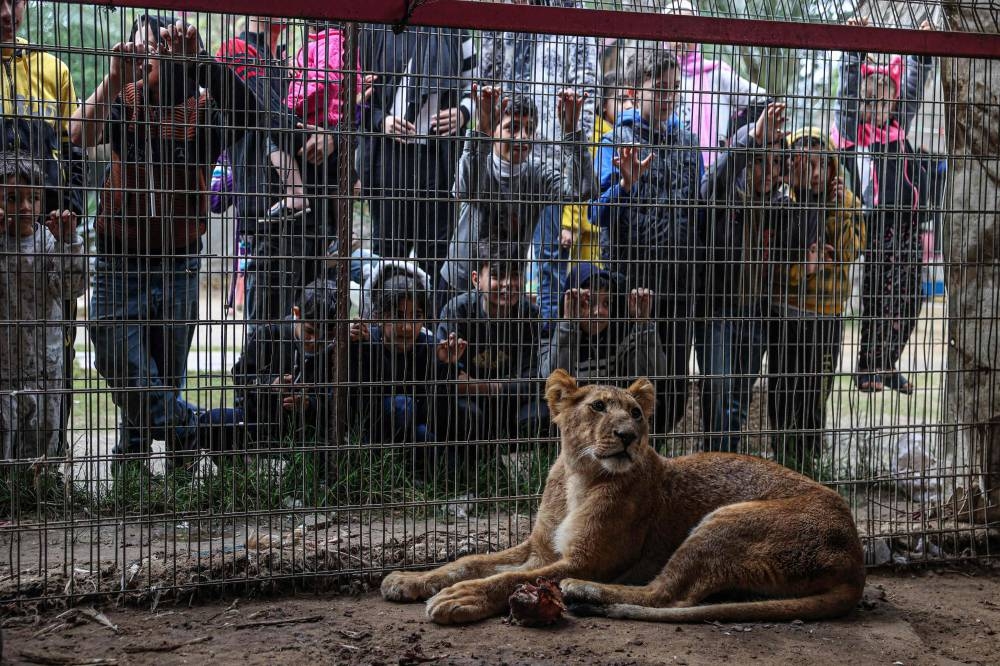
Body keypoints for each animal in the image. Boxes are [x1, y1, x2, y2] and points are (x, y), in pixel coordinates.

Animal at [381, 370, 865, 625]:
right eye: (597, 406)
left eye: (635, 413)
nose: (629, 435)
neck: (579, 476)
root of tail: (857, 559)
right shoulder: (538, 550)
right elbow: (468, 562)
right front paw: (407, 580)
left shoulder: (585, 559)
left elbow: (504, 579)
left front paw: (460, 598)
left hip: (727, 521)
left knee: (666, 596)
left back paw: (582, 592)